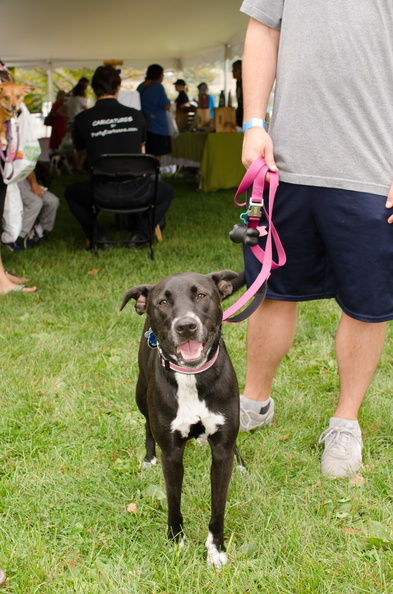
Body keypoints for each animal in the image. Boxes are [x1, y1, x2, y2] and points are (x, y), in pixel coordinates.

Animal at [120, 268, 242, 564]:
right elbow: (173, 501)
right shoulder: (172, 453)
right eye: (163, 302)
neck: (193, 377)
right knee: (147, 426)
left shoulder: (221, 449)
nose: (186, 326)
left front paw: (216, 549)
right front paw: (176, 541)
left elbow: (218, 505)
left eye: (201, 295)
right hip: (140, 393)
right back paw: (148, 458)